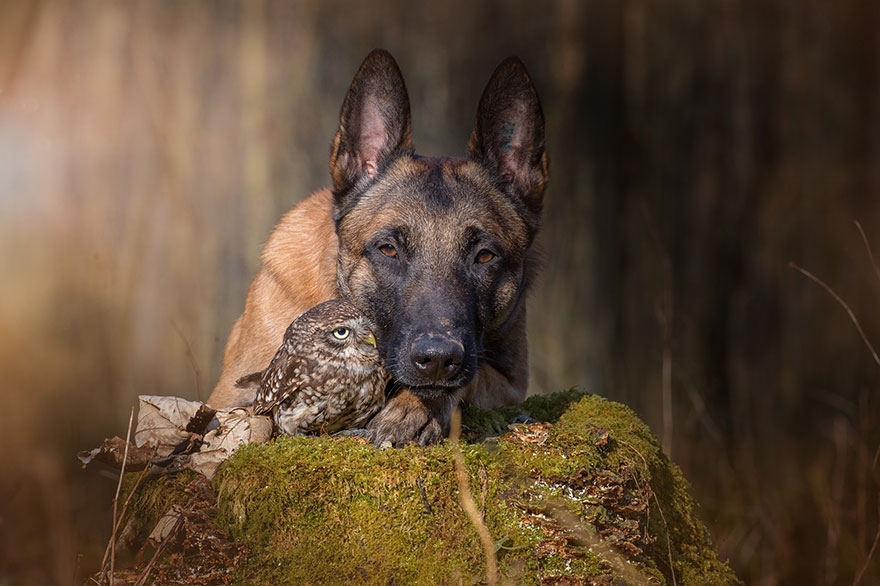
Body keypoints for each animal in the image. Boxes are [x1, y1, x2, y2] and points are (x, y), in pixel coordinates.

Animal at [209, 50, 548, 444]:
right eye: (388, 249)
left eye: (485, 256)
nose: (437, 360)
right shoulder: (233, 393)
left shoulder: (510, 381)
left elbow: (470, 377)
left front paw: (411, 407)